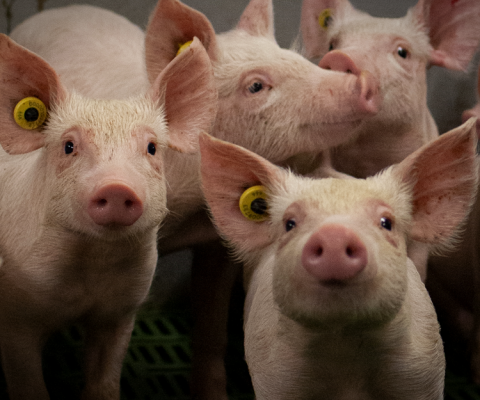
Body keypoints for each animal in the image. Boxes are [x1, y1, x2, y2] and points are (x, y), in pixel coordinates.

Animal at [0, 35, 217, 400]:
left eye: (152, 147)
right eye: (69, 146)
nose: (117, 186)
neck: (92, 265)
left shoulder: (121, 312)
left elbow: (104, 382)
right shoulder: (16, 318)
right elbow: (30, 386)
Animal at [198, 119, 476, 400]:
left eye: (386, 222)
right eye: (290, 224)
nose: (334, 234)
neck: (344, 347)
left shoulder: (423, 373)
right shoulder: (275, 378)